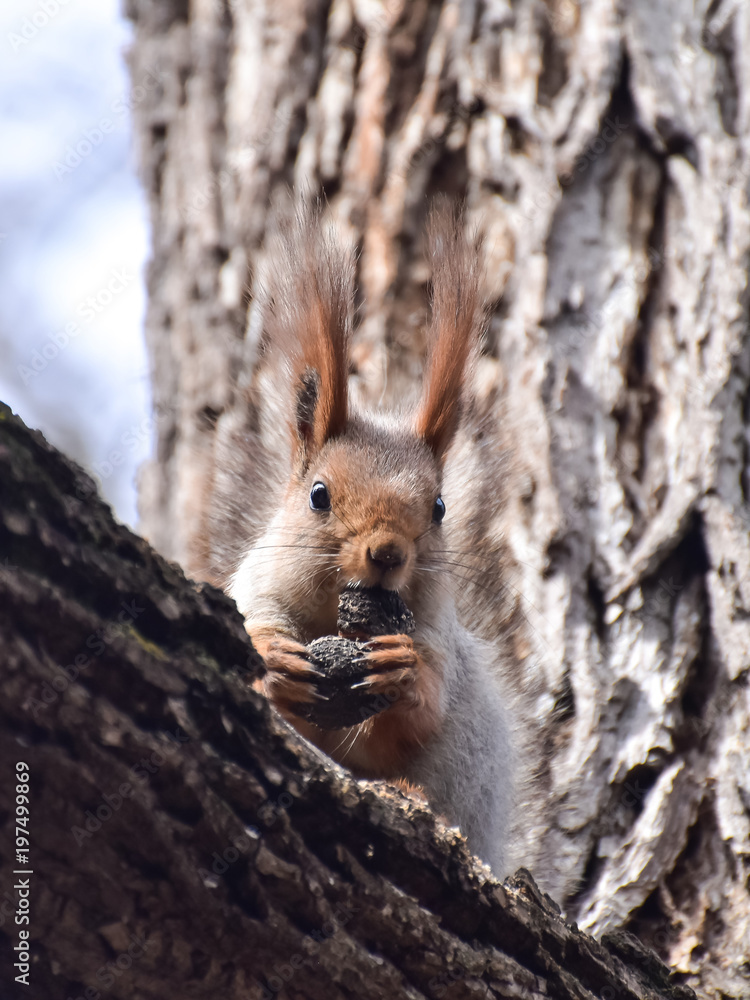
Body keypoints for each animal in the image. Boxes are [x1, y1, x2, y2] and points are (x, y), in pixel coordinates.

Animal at [212, 207, 528, 880]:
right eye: (318, 495)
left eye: (439, 509)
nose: (387, 554)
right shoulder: (254, 592)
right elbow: (256, 638)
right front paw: (276, 658)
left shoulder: (436, 637)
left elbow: (418, 713)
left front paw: (399, 672)